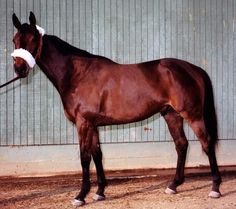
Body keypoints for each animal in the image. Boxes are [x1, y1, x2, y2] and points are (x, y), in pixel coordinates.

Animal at [11, 12, 221, 206]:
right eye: (14, 40)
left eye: (33, 39)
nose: (19, 69)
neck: (78, 74)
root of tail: (193, 69)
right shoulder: (93, 124)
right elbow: (97, 155)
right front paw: (100, 192)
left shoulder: (83, 123)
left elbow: (84, 157)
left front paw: (81, 195)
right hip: (172, 115)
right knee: (181, 145)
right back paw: (173, 185)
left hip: (193, 115)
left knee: (207, 143)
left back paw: (215, 188)